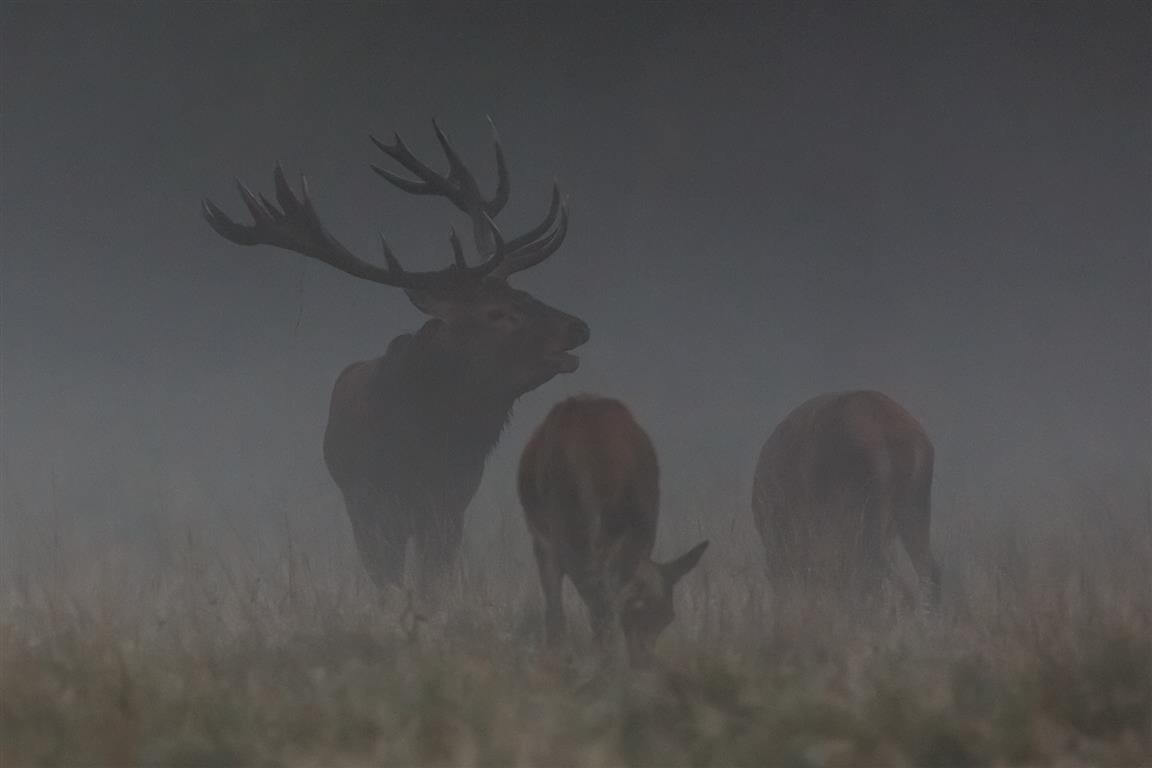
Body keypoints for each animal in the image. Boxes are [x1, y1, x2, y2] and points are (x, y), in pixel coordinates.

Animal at [202, 119, 590, 597]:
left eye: (526, 293)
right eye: (498, 313)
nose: (579, 327)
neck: (424, 443)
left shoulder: (450, 503)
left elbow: (432, 580)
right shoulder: (372, 504)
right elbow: (387, 579)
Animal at [518, 395, 709, 668]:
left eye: (668, 617)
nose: (645, 662)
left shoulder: (542, 536)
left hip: (558, 527)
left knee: (572, 595)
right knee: (599, 592)